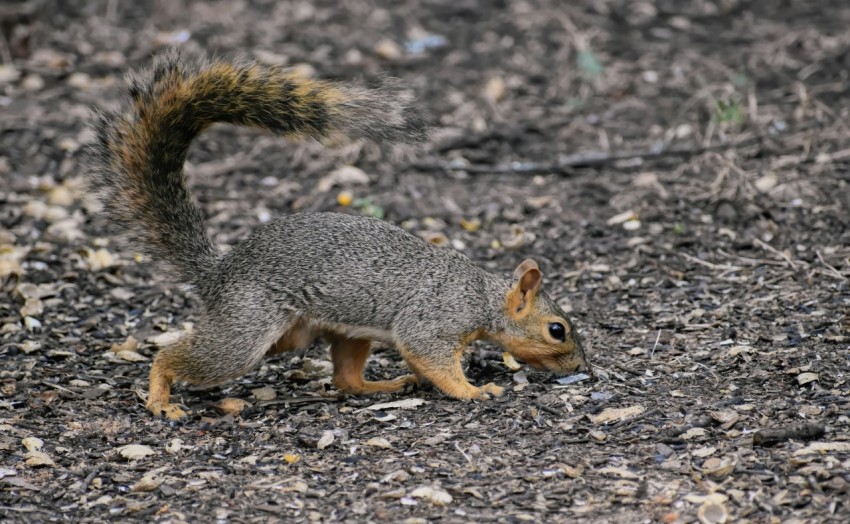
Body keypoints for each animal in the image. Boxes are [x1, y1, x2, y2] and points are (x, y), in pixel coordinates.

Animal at [88, 52, 588, 422]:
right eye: (557, 330)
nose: (582, 366)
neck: (482, 296)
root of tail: (219, 272)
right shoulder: (434, 319)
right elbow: (430, 356)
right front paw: (473, 390)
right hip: (246, 328)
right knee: (177, 356)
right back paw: (160, 398)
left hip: (314, 332)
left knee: (346, 379)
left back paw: (384, 384)